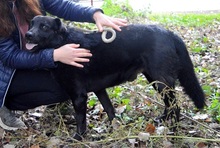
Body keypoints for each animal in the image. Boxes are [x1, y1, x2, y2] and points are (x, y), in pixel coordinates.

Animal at [24, 15, 205, 140]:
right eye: (31, 24)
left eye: (44, 26)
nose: (27, 35)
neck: (62, 44)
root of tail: (169, 33)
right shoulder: (99, 89)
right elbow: (110, 110)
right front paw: (117, 129)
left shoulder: (79, 96)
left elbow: (80, 120)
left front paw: (78, 138)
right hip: (155, 79)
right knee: (169, 104)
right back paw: (163, 120)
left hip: (161, 80)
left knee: (175, 106)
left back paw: (174, 131)